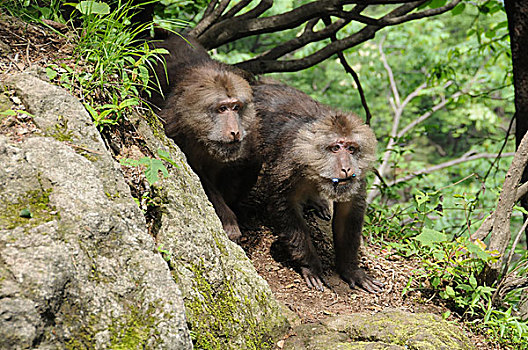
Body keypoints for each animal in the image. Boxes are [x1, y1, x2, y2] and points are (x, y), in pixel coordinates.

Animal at [153, 35, 260, 241]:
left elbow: (248, 163)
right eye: (222, 108)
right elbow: (195, 173)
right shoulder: (173, 127)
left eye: (236, 107)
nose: (235, 131)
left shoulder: (250, 137)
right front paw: (228, 221)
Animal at [253, 82, 384, 292]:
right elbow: (285, 207)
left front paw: (351, 269)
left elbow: (348, 212)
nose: (346, 168)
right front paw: (311, 266)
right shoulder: (289, 166)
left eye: (351, 148)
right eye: (336, 148)